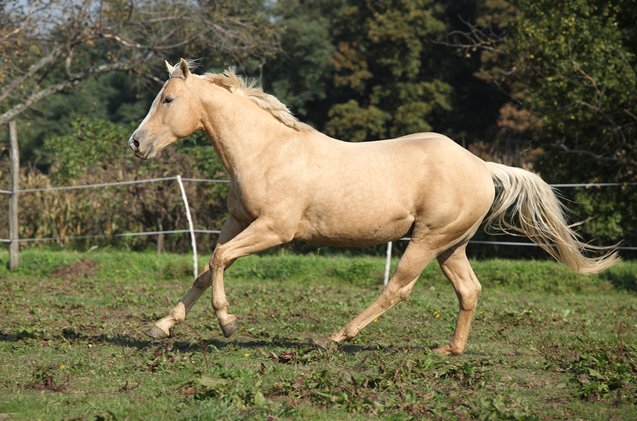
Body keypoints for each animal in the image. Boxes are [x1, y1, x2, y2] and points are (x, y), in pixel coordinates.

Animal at [128, 59, 616, 354]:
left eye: (168, 99)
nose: (135, 143)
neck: (268, 151)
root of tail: (481, 166)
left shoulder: (274, 229)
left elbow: (218, 259)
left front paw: (227, 323)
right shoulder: (238, 221)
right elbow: (207, 267)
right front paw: (161, 326)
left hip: (427, 241)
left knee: (397, 289)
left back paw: (333, 338)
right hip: (451, 247)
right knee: (469, 290)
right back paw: (450, 350)